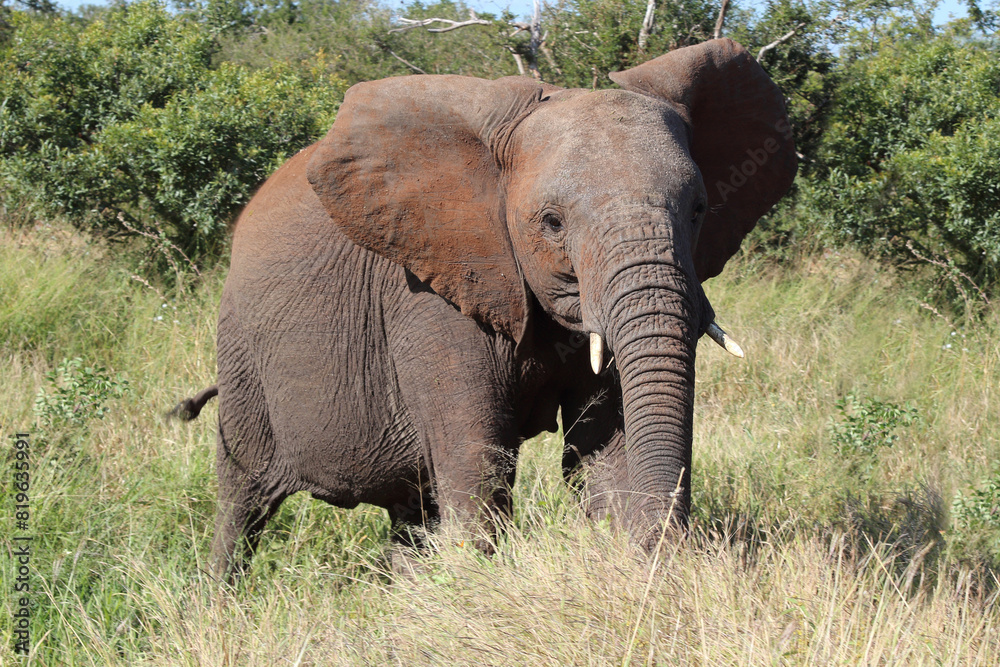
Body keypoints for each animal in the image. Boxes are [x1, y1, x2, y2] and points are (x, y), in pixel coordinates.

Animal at [180, 38, 796, 582]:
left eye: (698, 210)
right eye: (552, 222)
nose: (667, 554)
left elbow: (606, 450)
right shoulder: (428, 296)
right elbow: (478, 463)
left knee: (412, 508)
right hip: (239, 350)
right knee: (242, 498)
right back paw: (221, 604)